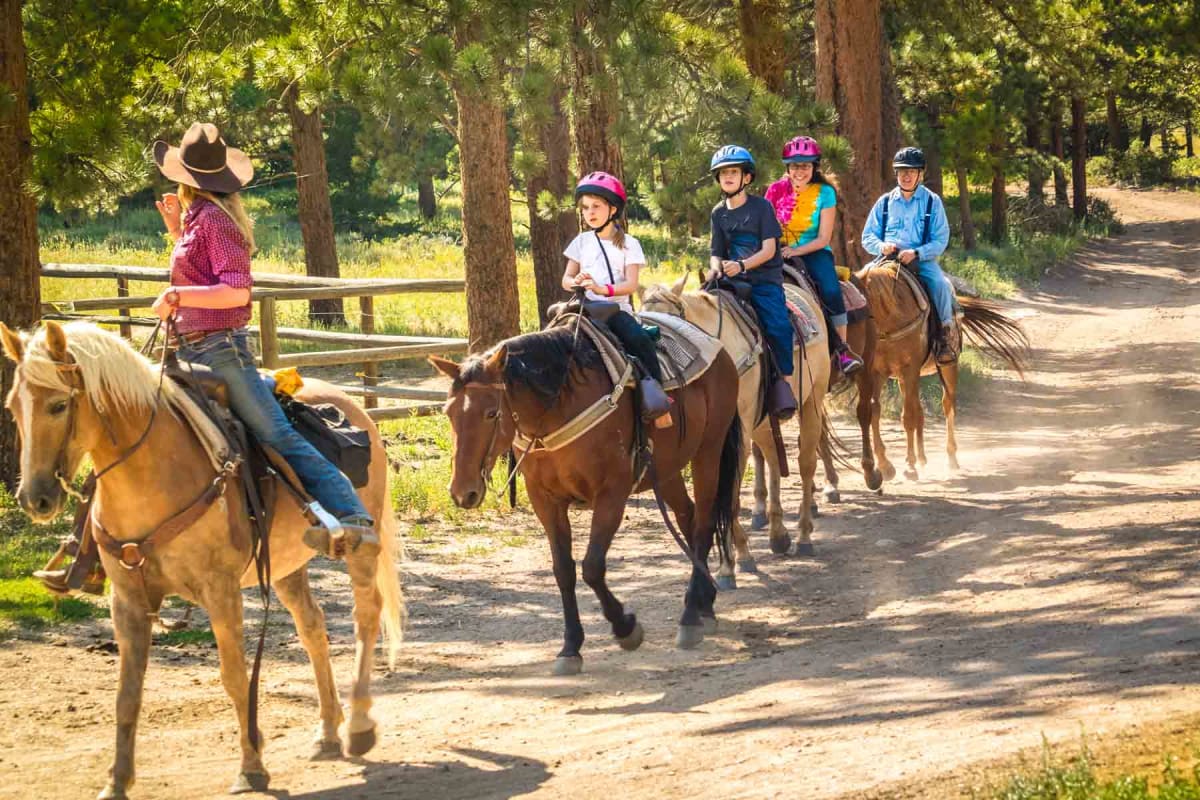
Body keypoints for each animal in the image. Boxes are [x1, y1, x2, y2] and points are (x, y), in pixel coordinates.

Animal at [0, 321, 405, 796]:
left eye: (59, 404)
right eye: (13, 406)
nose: (35, 498)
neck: (154, 474)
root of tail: (358, 410)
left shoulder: (221, 590)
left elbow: (234, 677)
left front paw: (251, 767)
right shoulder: (127, 599)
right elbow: (126, 692)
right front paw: (116, 781)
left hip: (360, 550)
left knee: (367, 616)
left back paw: (358, 724)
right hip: (286, 565)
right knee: (312, 626)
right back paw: (326, 731)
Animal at [427, 319, 744, 676]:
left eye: (492, 413)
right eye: (449, 412)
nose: (462, 491)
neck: (557, 408)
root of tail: (717, 349)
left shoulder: (611, 493)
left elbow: (592, 567)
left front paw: (626, 628)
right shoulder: (545, 500)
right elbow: (563, 570)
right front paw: (570, 648)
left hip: (709, 452)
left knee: (703, 523)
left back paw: (690, 617)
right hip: (667, 469)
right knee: (688, 517)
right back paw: (705, 604)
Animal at [854, 260, 1032, 479]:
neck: (892, 318)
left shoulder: (909, 369)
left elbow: (908, 417)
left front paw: (909, 466)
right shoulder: (877, 372)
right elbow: (875, 412)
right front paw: (886, 465)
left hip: (947, 367)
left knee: (947, 406)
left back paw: (950, 458)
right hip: (906, 379)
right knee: (920, 410)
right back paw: (922, 459)